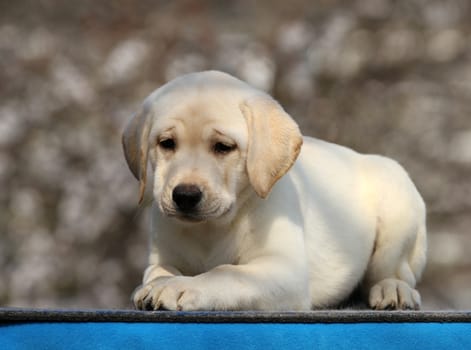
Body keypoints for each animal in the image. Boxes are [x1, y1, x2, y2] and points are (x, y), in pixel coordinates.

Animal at [122, 69, 428, 310]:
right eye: (167, 143)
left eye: (223, 147)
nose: (185, 196)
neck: (211, 229)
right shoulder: (163, 255)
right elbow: (157, 271)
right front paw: (159, 283)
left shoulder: (285, 271)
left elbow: (226, 272)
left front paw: (180, 286)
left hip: (397, 205)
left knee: (393, 272)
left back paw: (393, 289)